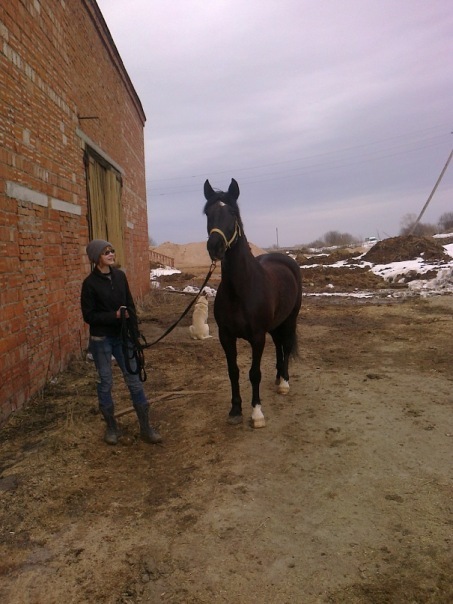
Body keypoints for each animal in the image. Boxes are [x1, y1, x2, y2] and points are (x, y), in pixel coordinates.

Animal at [203, 178, 302, 428]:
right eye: (208, 212)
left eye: (232, 212)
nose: (215, 247)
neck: (241, 291)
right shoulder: (226, 336)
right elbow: (233, 371)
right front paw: (235, 410)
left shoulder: (257, 337)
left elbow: (254, 373)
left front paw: (257, 413)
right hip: (276, 324)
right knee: (278, 345)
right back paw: (277, 377)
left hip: (290, 318)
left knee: (287, 345)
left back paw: (284, 383)